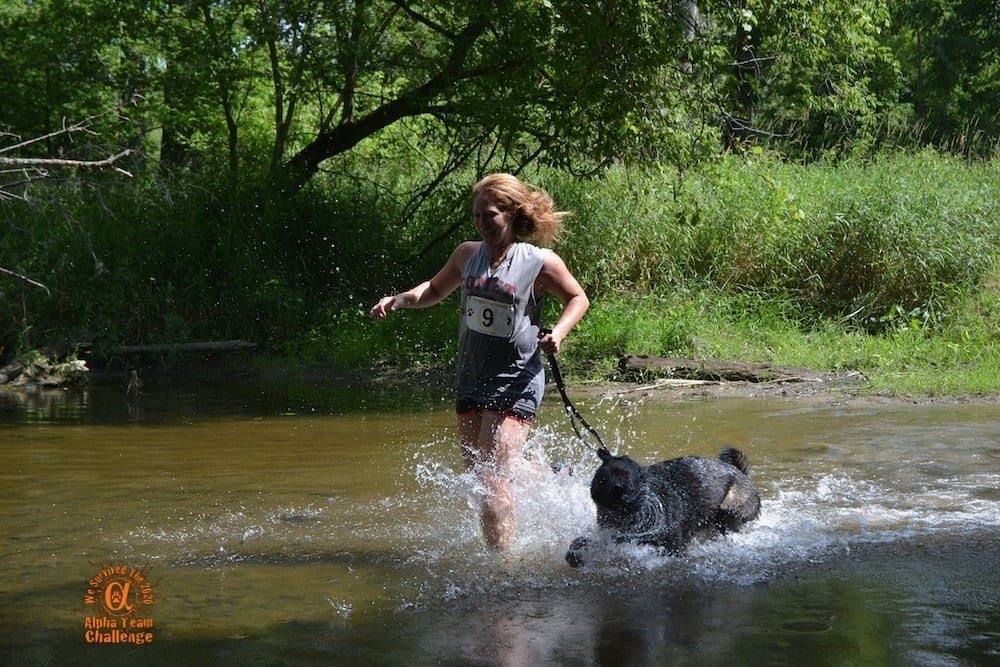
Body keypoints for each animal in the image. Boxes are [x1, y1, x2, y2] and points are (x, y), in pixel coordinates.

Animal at [568, 446, 760, 568]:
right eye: (599, 481)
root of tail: (741, 473)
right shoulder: (611, 534)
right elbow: (582, 541)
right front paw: (574, 556)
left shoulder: (672, 545)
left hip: (731, 507)